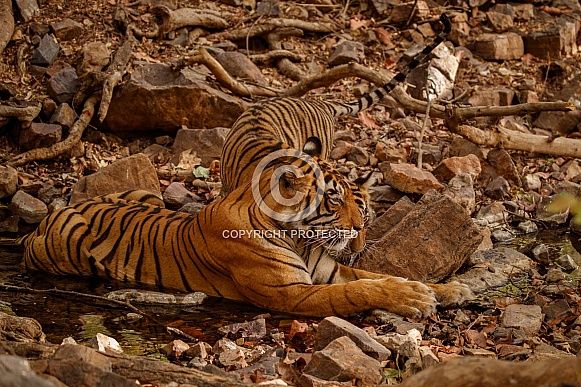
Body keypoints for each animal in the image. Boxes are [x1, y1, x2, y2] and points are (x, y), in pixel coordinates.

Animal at [21, 152, 472, 318]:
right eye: (333, 199)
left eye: (358, 203)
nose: (361, 229)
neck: (300, 236)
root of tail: (58, 211)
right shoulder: (293, 293)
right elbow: (359, 291)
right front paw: (413, 298)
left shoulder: (330, 271)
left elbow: (379, 276)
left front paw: (449, 290)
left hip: (142, 193)